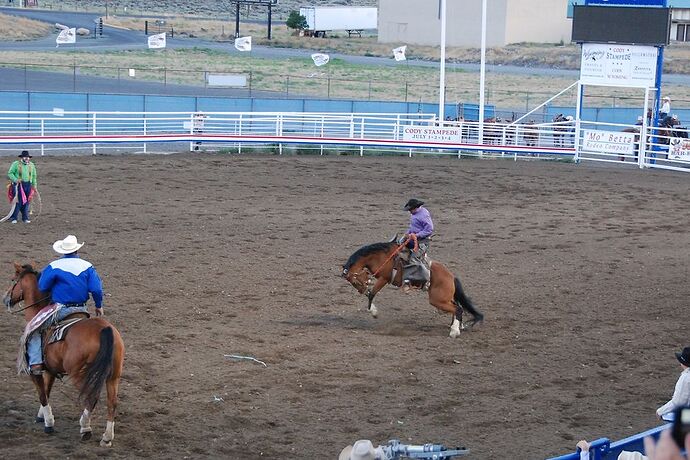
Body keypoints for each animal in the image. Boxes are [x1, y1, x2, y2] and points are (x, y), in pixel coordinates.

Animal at [3, 262, 124, 446]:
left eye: (12, 280)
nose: (5, 299)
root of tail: (105, 329)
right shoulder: (51, 370)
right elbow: (47, 389)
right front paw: (41, 416)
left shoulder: (34, 369)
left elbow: (42, 394)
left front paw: (49, 424)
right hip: (113, 376)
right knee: (112, 402)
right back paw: (107, 437)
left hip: (80, 375)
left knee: (91, 397)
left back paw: (85, 428)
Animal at [340, 239, 482, 336]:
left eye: (355, 281)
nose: (361, 290)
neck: (381, 256)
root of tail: (451, 277)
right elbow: (371, 294)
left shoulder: (384, 278)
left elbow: (372, 294)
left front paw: (374, 312)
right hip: (444, 299)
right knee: (458, 307)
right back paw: (457, 326)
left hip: (437, 300)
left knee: (457, 308)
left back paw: (454, 332)